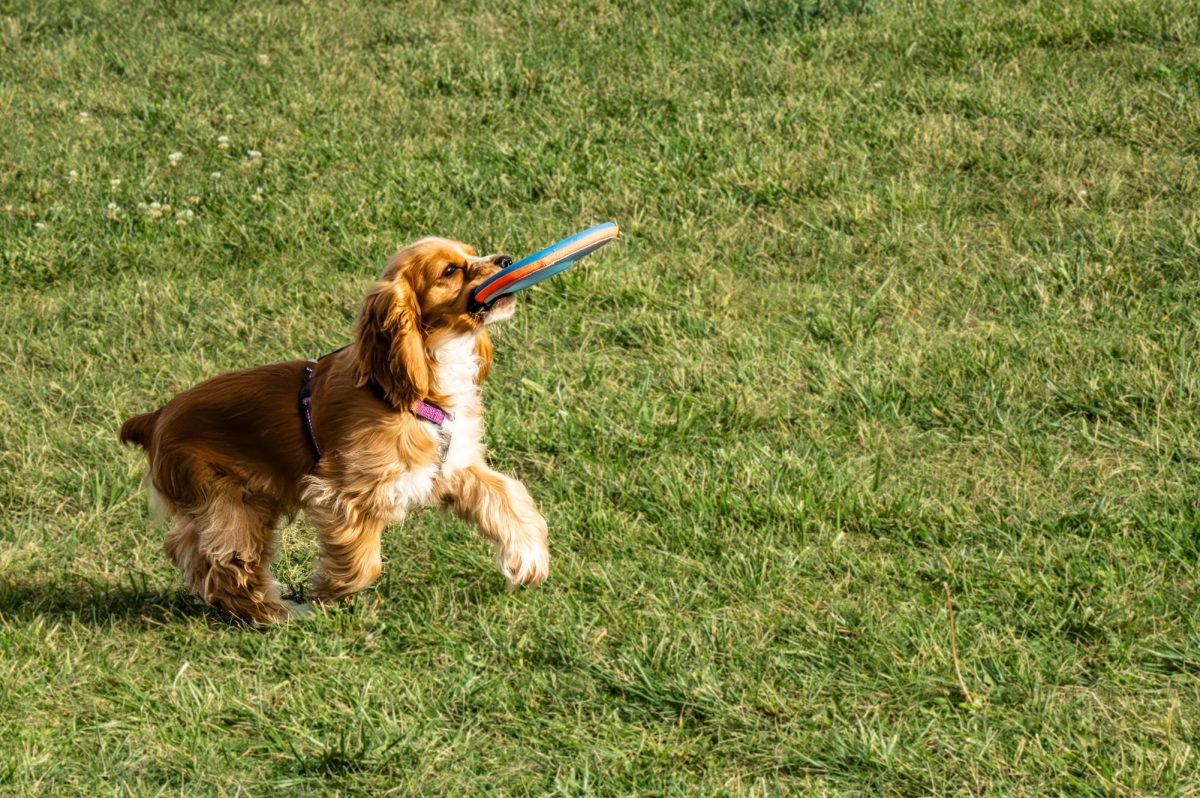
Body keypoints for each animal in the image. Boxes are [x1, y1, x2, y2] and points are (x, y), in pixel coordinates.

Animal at [117, 236, 549, 624]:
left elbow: (507, 497)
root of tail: (155, 417)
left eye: (474, 252)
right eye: (450, 270)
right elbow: (365, 560)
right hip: (231, 504)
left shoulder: (452, 469)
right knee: (224, 565)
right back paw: (277, 613)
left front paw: (529, 559)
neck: (406, 386)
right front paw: (329, 591)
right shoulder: (344, 493)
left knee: (193, 554)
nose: (507, 259)